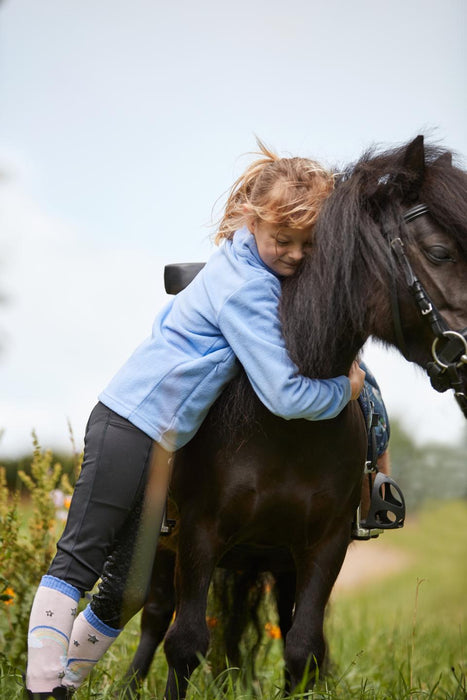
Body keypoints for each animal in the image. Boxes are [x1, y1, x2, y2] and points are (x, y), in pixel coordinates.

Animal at [122, 134, 466, 696]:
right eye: (441, 252)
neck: (283, 427)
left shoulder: (323, 546)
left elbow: (303, 648)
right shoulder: (198, 534)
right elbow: (185, 643)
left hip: (279, 561)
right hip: (163, 547)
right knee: (153, 617)